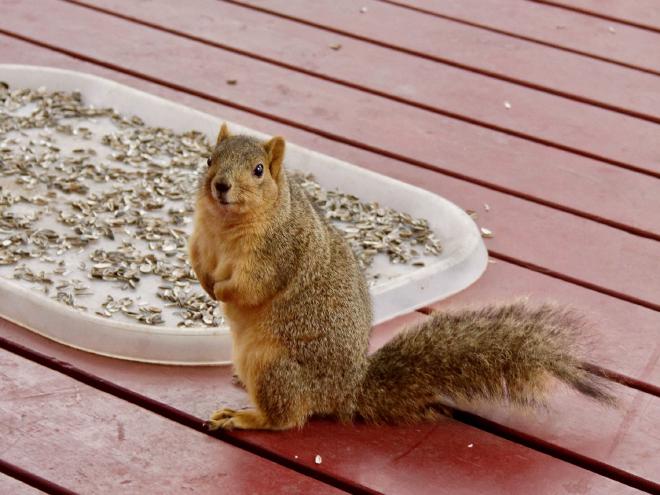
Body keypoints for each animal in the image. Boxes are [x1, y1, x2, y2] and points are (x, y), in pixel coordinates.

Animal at [188, 124, 616, 430]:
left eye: (258, 170)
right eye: (209, 159)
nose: (220, 185)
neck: (225, 226)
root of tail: (346, 390)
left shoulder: (276, 253)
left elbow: (252, 285)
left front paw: (222, 291)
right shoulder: (201, 240)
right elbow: (197, 261)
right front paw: (205, 284)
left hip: (276, 367)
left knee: (287, 418)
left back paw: (245, 417)